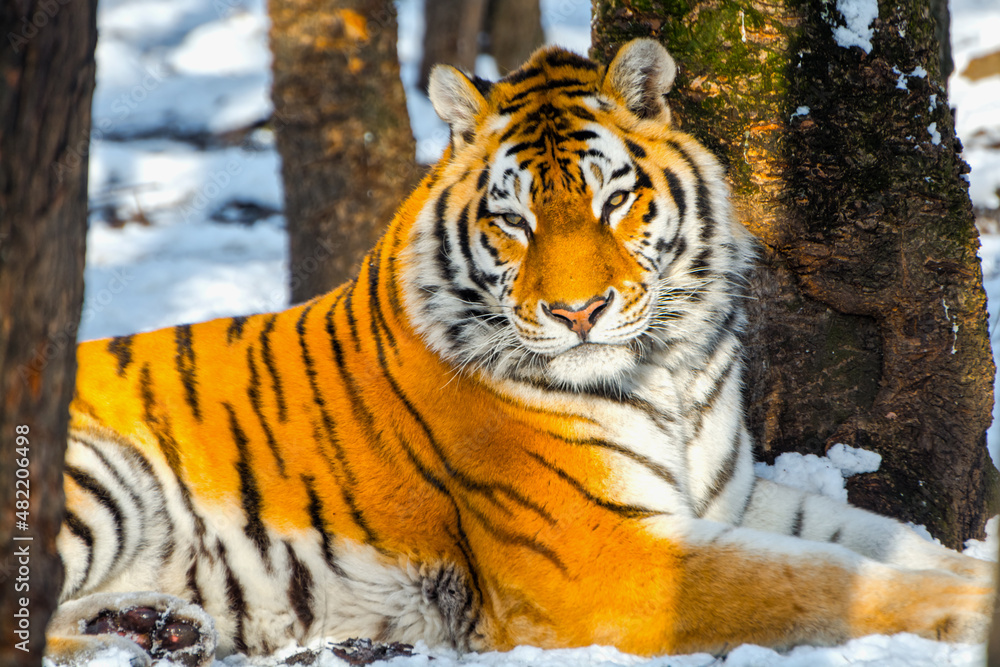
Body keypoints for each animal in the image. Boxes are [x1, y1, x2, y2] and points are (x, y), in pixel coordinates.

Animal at [47, 38, 993, 667]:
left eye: (613, 202)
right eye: (513, 218)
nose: (578, 313)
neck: (669, 365)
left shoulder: (727, 494)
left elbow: (874, 537)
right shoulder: (602, 552)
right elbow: (814, 577)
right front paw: (972, 609)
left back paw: (157, 625)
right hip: (99, 476)